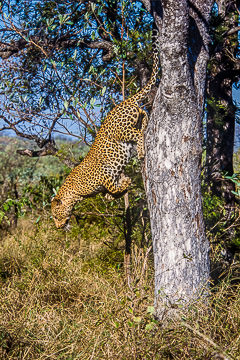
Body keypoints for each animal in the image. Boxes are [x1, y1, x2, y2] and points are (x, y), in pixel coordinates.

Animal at [51, 33, 158, 228]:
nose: (58, 227)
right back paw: (145, 124)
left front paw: (125, 182)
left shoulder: (103, 176)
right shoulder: (106, 182)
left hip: (120, 131)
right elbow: (111, 195)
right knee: (143, 114)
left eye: (56, 215)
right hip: (134, 117)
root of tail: (124, 102)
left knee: (138, 133)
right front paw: (122, 187)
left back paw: (140, 151)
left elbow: (113, 188)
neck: (74, 195)